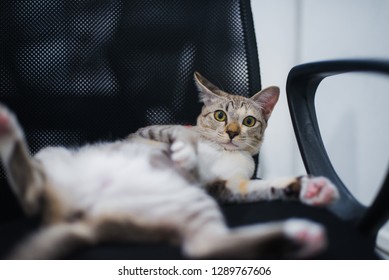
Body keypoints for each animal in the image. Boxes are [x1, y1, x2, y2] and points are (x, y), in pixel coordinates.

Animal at [0, 71, 338, 258]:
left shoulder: (225, 187)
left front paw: (309, 187)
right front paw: (188, 152)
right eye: (220, 116)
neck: (222, 153)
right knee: (31, 197)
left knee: (204, 246)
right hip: (52, 153)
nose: (231, 133)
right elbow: (181, 133)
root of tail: (82, 220)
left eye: (249, 121)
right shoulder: (152, 130)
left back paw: (301, 236)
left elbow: (262, 186)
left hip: (189, 202)